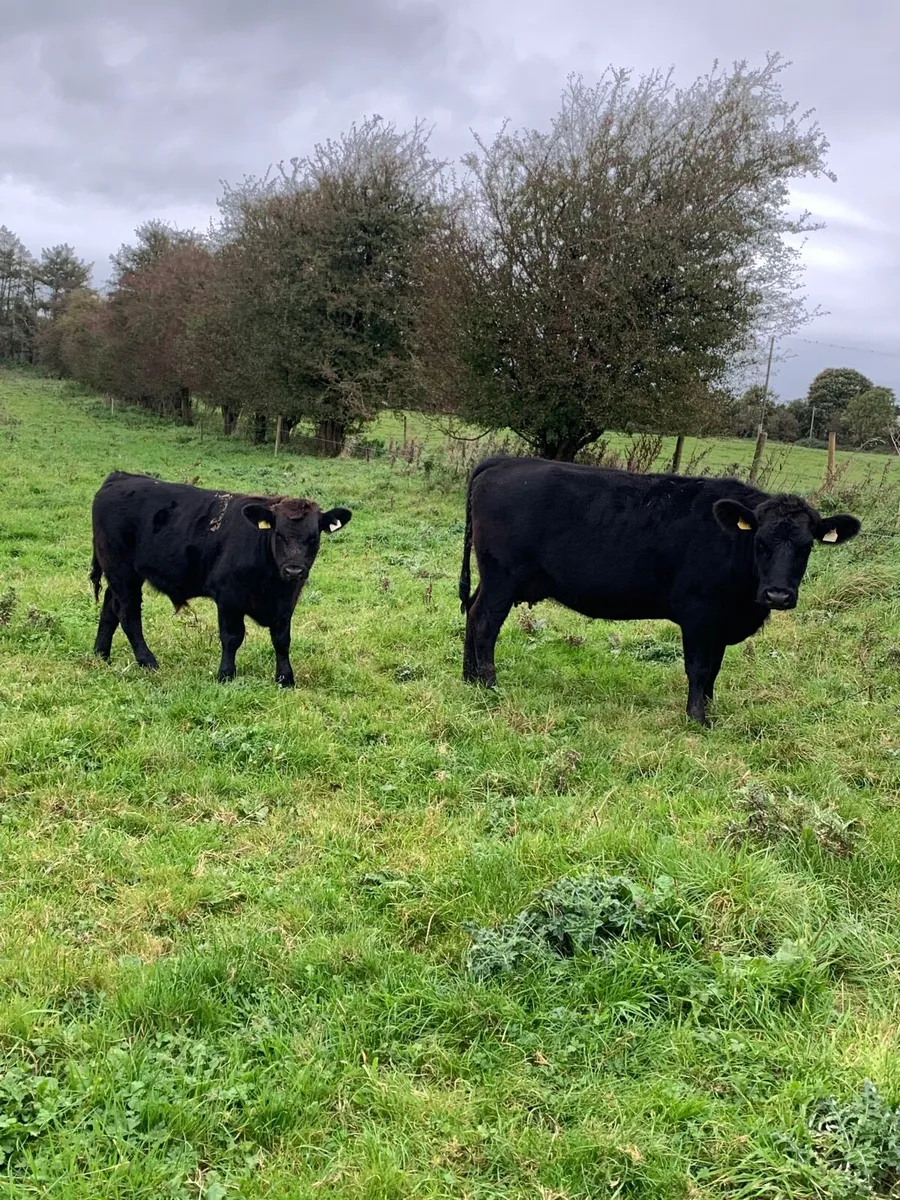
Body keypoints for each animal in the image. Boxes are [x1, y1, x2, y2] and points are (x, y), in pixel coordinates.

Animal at [90, 471, 351, 686]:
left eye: (313, 537)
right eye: (278, 533)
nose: (294, 571)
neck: (272, 583)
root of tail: (120, 477)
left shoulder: (287, 603)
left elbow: (282, 640)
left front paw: (285, 678)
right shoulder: (228, 598)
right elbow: (232, 637)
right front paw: (226, 674)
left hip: (119, 575)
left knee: (110, 609)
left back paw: (101, 654)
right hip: (122, 572)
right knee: (129, 615)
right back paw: (147, 661)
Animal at [459, 456, 861, 725]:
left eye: (806, 547)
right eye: (760, 542)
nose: (777, 595)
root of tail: (505, 462)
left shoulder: (719, 624)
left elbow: (714, 670)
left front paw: (709, 708)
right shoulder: (699, 614)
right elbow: (699, 668)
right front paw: (697, 719)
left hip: (493, 577)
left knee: (472, 613)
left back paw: (469, 678)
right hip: (503, 576)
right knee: (485, 622)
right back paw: (489, 683)